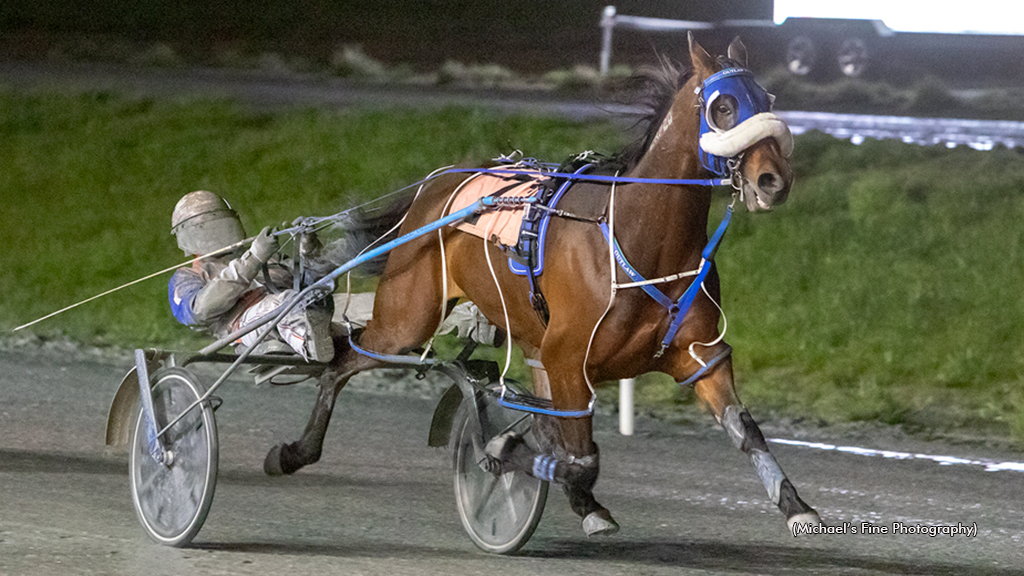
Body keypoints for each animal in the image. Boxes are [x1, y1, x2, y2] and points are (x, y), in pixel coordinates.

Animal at [262, 35, 823, 537]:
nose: (774, 181)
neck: (636, 238)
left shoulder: (697, 355)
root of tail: (437, 185)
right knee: (340, 363)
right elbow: (578, 456)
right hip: (406, 319)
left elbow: (744, 431)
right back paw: (292, 452)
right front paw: (503, 452)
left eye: (768, 101)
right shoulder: (567, 358)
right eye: (723, 106)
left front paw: (796, 506)